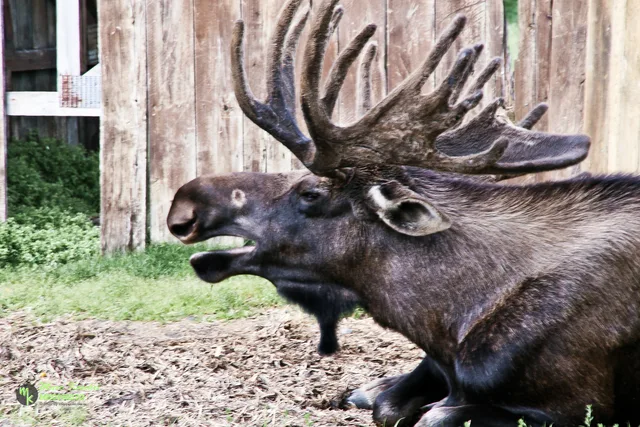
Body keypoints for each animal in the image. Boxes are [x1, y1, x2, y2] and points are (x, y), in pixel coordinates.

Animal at [167, 0, 640, 425]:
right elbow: (391, 406)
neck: (447, 317)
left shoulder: (576, 405)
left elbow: (432, 415)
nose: (186, 201)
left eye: (310, 192)